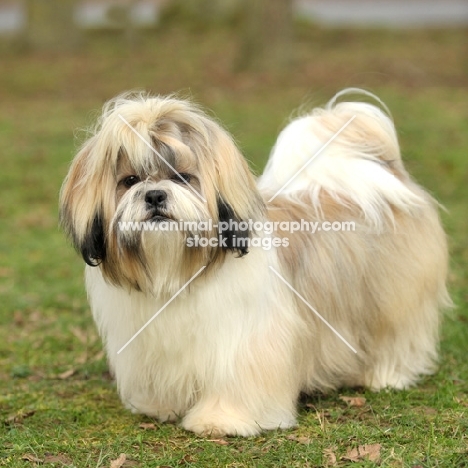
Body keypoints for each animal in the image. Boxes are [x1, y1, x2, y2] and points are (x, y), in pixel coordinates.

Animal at [58, 89, 450, 436]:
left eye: (183, 177)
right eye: (129, 181)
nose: (154, 195)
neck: (179, 271)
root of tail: (382, 178)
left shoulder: (245, 337)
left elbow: (237, 378)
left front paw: (222, 420)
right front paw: (160, 405)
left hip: (393, 298)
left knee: (397, 333)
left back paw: (387, 375)